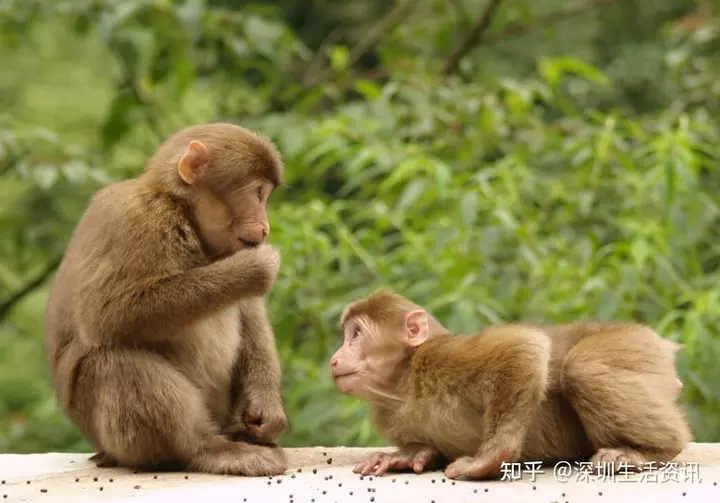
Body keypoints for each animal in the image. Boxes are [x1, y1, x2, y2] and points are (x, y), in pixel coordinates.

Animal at [45, 123, 290, 476]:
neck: (182, 213)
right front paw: (253, 269)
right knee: (113, 360)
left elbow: (249, 314)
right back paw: (205, 450)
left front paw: (265, 408)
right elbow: (105, 314)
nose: (266, 227)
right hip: (115, 440)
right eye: (258, 193)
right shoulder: (135, 218)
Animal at [332, 290, 692, 478]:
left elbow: (521, 348)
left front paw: (488, 460)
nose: (335, 358)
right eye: (347, 334)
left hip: (634, 345)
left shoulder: (442, 357)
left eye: (356, 334)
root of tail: (660, 345)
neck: (404, 384)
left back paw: (647, 450)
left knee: (582, 367)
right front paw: (409, 455)